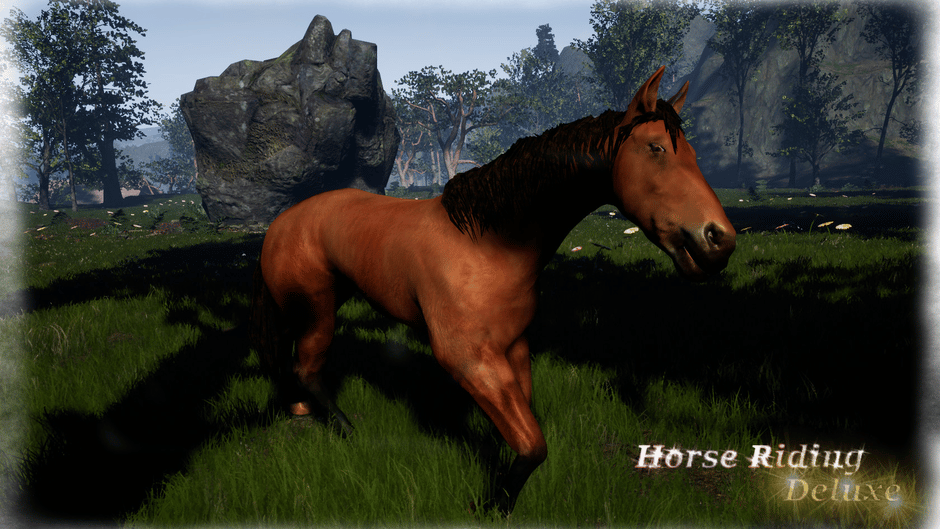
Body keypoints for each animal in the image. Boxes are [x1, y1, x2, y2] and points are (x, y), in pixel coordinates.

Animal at [249, 66, 736, 515]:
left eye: (692, 152)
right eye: (656, 149)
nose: (719, 239)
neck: (487, 245)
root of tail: (282, 222)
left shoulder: (514, 348)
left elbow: (523, 430)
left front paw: (501, 484)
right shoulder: (468, 359)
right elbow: (533, 444)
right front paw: (492, 505)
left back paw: (300, 410)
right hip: (317, 309)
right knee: (307, 368)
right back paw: (346, 430)